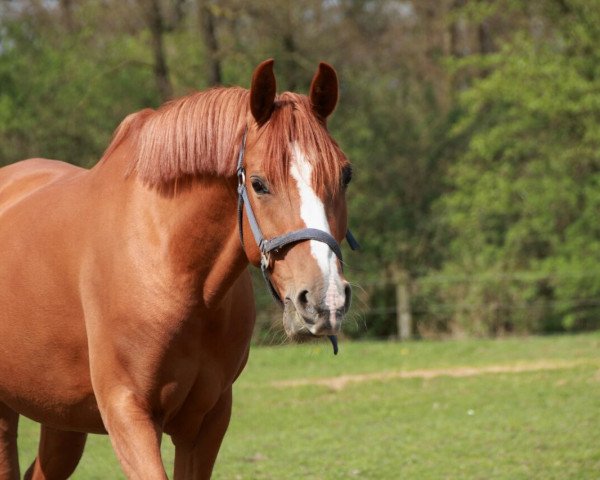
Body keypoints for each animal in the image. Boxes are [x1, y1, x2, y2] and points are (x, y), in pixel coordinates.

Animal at [0, 61, 354, 480]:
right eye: (258, 183)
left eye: (345, 175)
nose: (324, 299)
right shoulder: (128, 414)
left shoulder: (207, 420)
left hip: (61, 418)